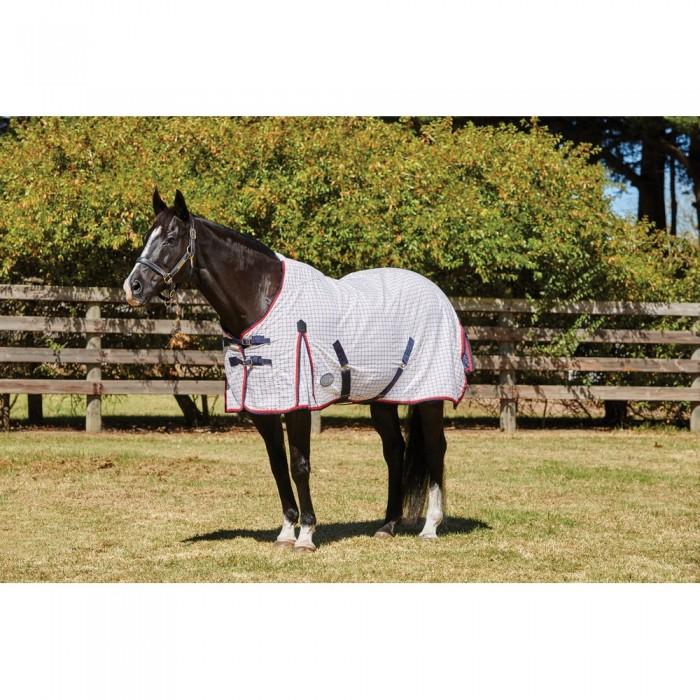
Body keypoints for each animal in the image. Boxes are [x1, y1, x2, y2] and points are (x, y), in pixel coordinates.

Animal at [123, 189, 472, 552]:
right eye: (147, 237)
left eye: (171, 239)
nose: (132, 287)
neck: (261, 300)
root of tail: (438, 295)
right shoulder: (263, 405)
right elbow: (278, 465)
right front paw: (285, 532)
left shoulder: (299, 404)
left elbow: (299, 465)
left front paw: (306, 534)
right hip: (381, 399)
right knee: (394, 451)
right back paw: (387, 525)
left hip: (429, 396)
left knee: (435, 449)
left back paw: (430, 527)